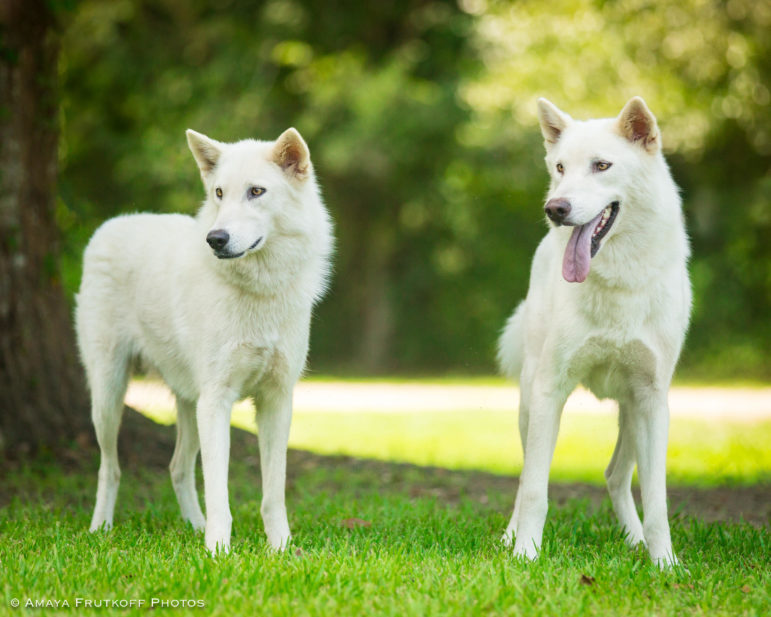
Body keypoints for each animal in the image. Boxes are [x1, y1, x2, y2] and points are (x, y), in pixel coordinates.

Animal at [76, 126, 334, 552]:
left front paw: (281, 549)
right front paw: (218, 552)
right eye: (219, 193)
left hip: (188, 404)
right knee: (109, 469)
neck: (259, 292)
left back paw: (193, 527)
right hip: (109, 398)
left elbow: (273, 492)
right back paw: (101, 529)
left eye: (256, 191)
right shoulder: (217, 400)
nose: (216, 239)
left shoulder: (277, 400)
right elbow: (219, 493)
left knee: (177, 467)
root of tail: (111, 225)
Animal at [500, 97, 692, 568]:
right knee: (526, 476)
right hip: (529, 400)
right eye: (560, 167)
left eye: (601, 165)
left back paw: (635, 541)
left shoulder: (652, 400)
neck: (618, 282)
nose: (555, 208)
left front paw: (664, 564)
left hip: (632, 413)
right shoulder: (550, 390)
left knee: (615, 475)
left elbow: (657, 499)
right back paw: (510, 538)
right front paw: (526, 555)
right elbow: (535, 489)